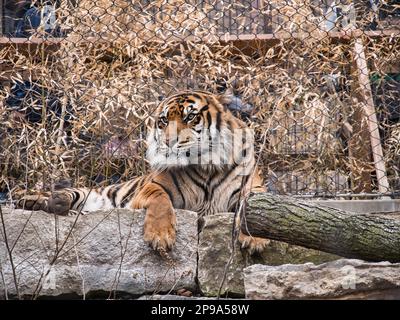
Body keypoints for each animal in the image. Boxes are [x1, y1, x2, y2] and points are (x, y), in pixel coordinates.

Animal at [17, 90, 270, 255]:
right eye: (163, 121)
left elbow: (254, 210)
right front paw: (160, 237)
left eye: (190, 117)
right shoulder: (154, 186)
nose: (168, 142)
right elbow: (160, 202)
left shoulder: (253, 188)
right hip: (94, 193)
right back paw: (40, 201)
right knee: (66, 194)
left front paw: (255, 239)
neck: (207, 166)